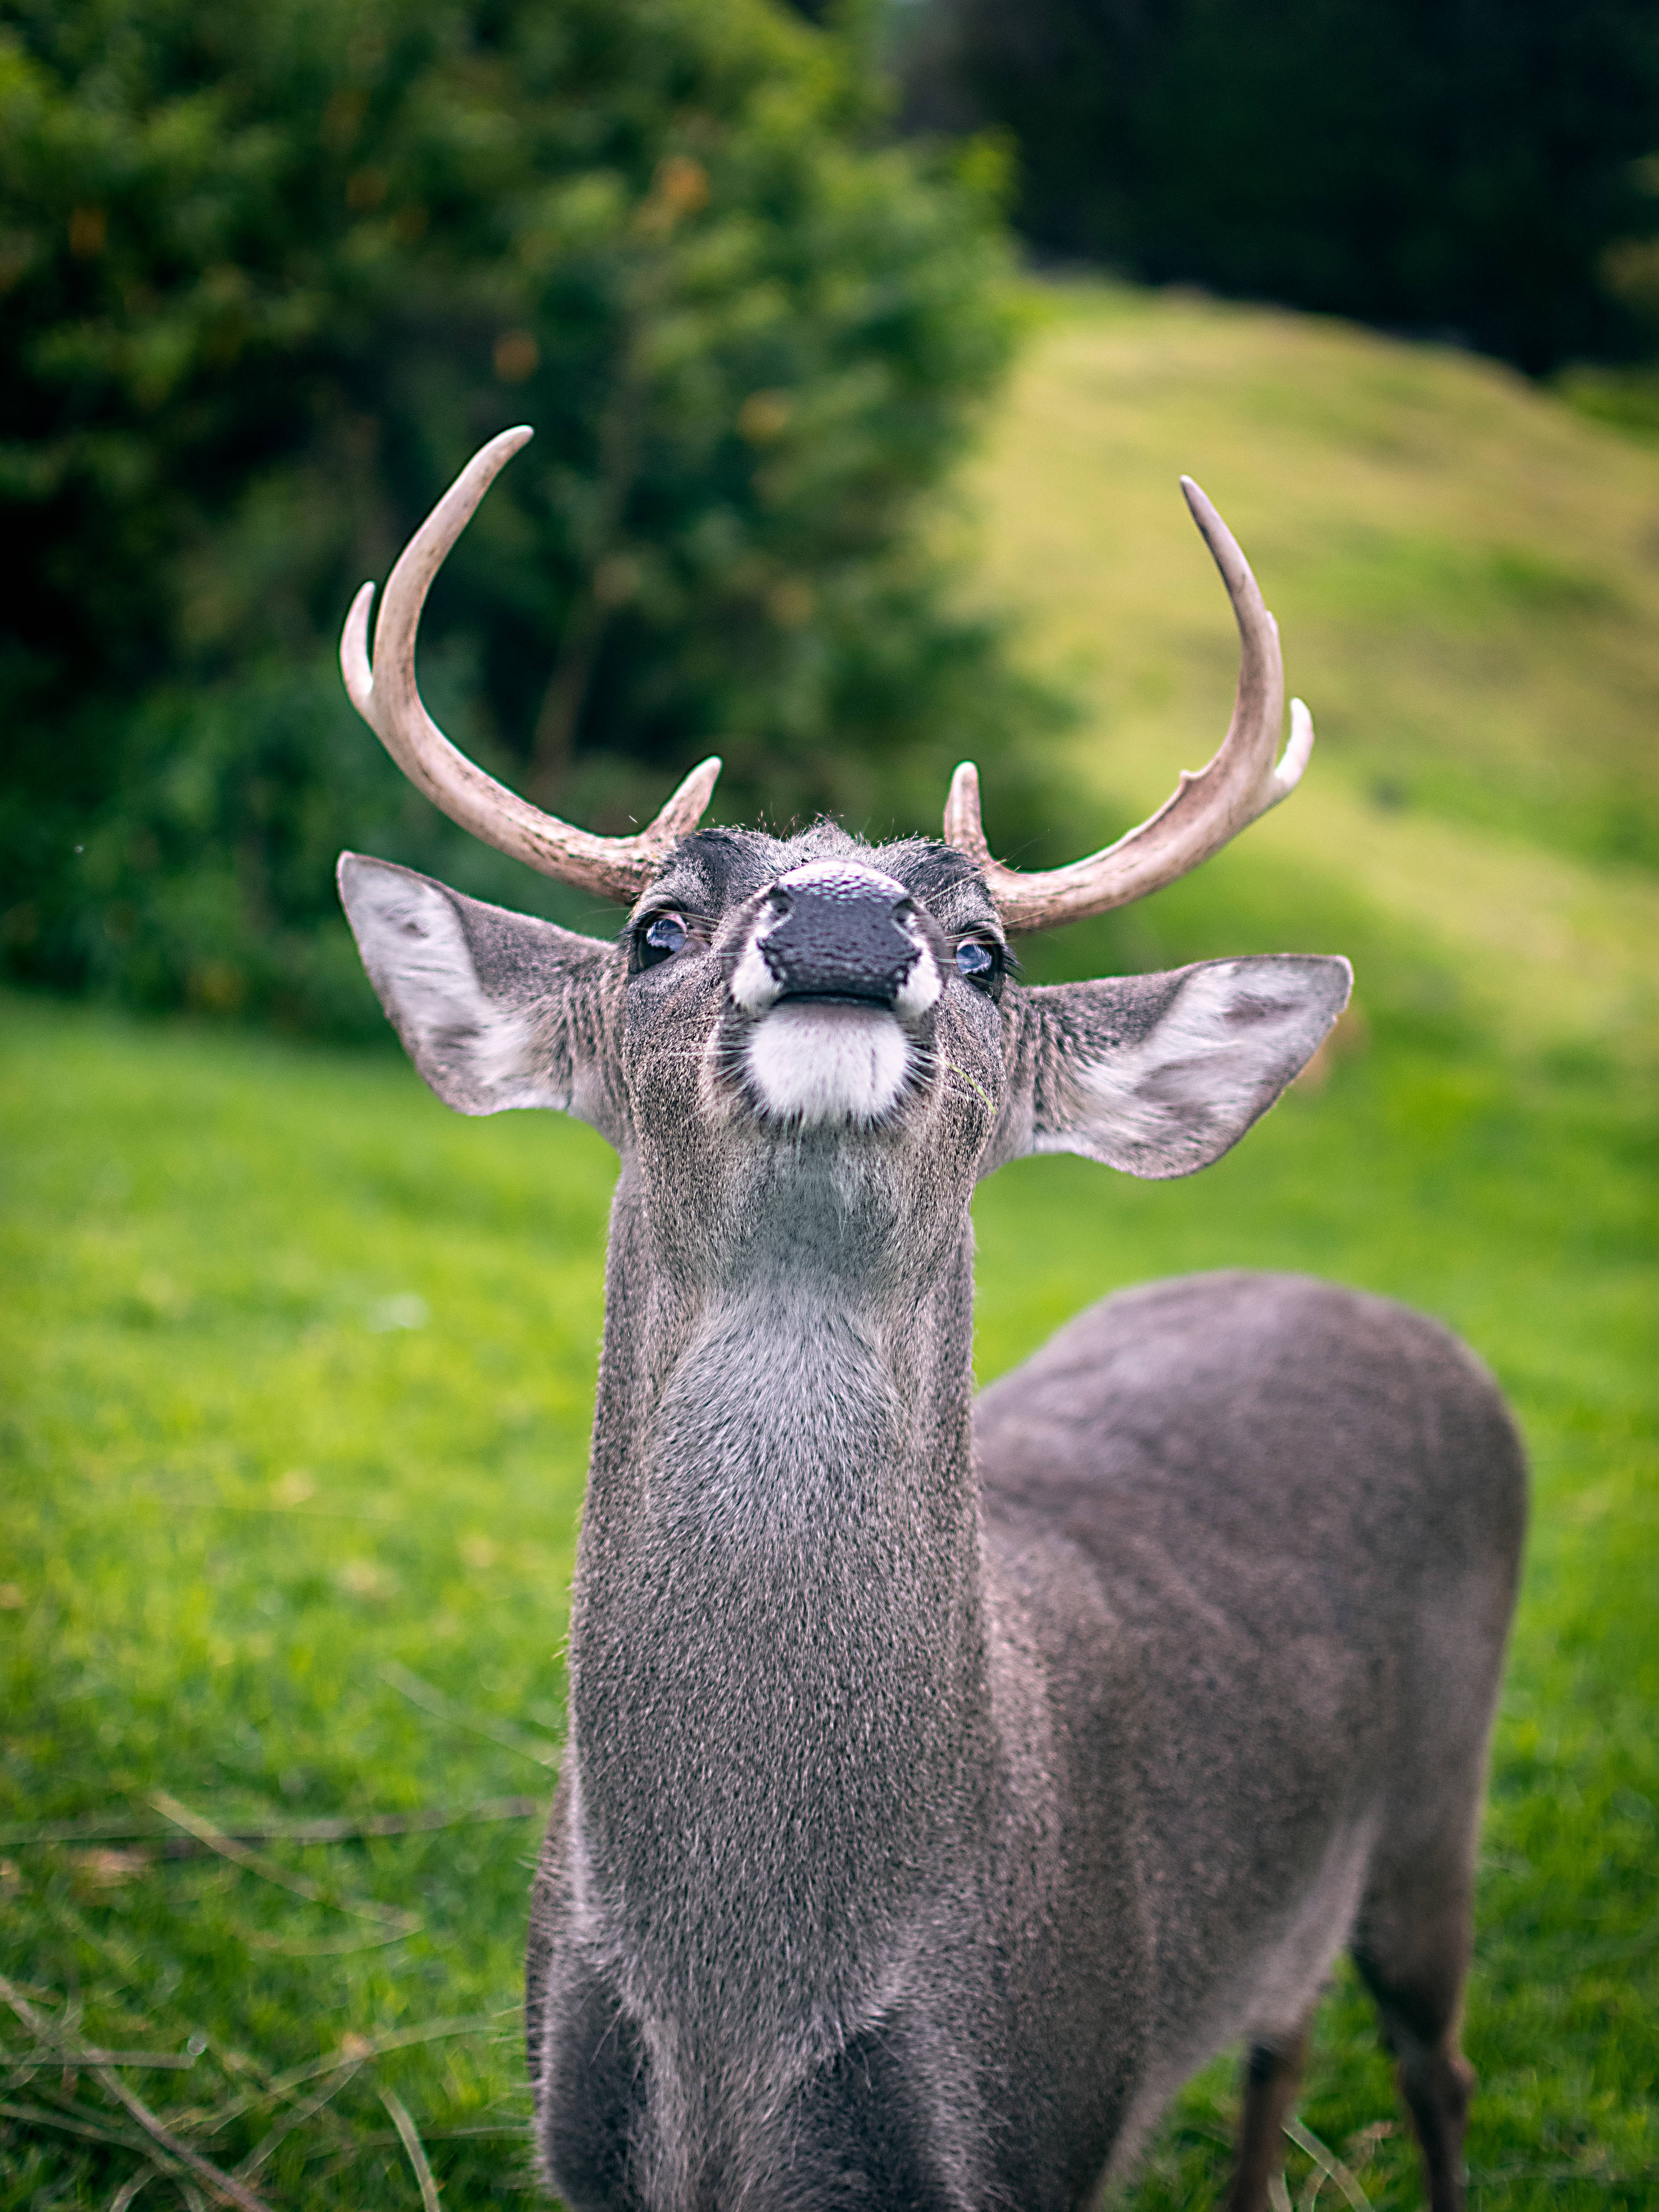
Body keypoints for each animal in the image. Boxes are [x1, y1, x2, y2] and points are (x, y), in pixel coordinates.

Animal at [335, 426, 1525, 2212]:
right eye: (655, 924)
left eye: (983, 951)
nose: (841, 918)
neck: (740, 2014)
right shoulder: (578, 2127)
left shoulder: (1047, 2109)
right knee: (1283, 2027)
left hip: (1443, 1795)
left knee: (1432, 2062)